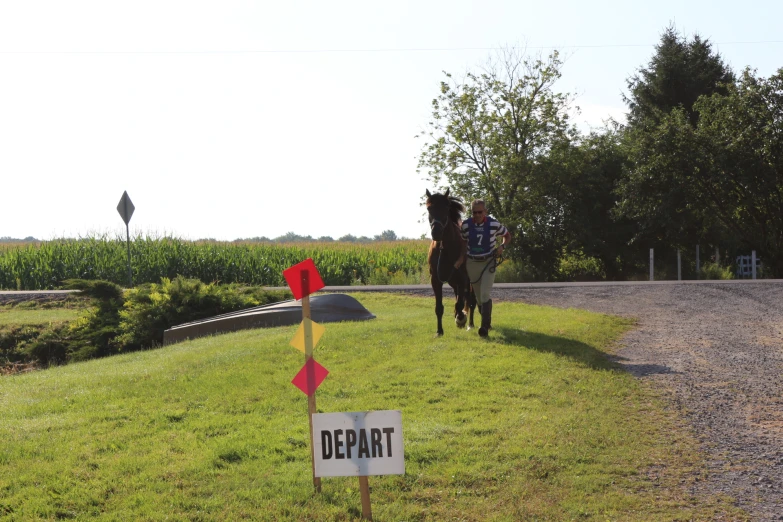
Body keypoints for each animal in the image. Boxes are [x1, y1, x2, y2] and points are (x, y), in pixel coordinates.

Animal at [426, 189, 474, 336]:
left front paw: (461, 318)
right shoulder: (436, 280)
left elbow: (460, 304)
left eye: (446, 208)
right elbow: (439, 307)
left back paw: (470, 323)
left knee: (471, 300)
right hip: (453, 282)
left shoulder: (462, 279)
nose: (436, 232)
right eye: (429, 208)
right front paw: (439, 331)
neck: (445, 248)